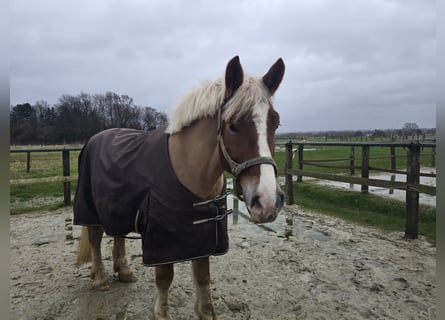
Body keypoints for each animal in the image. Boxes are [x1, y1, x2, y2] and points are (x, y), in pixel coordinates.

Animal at [73, 56, 284, 318]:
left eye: (276, 123)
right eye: (233, 125)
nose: (267, 202)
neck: (189, 171)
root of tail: (95, 138)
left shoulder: (204, 240)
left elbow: (203, 279)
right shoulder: (161, 243)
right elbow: (165, 279)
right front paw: (161, 313)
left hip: (118, 209)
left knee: (118, 235)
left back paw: (124, 272)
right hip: (90, 208)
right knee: (95, 238)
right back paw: (100, 278)